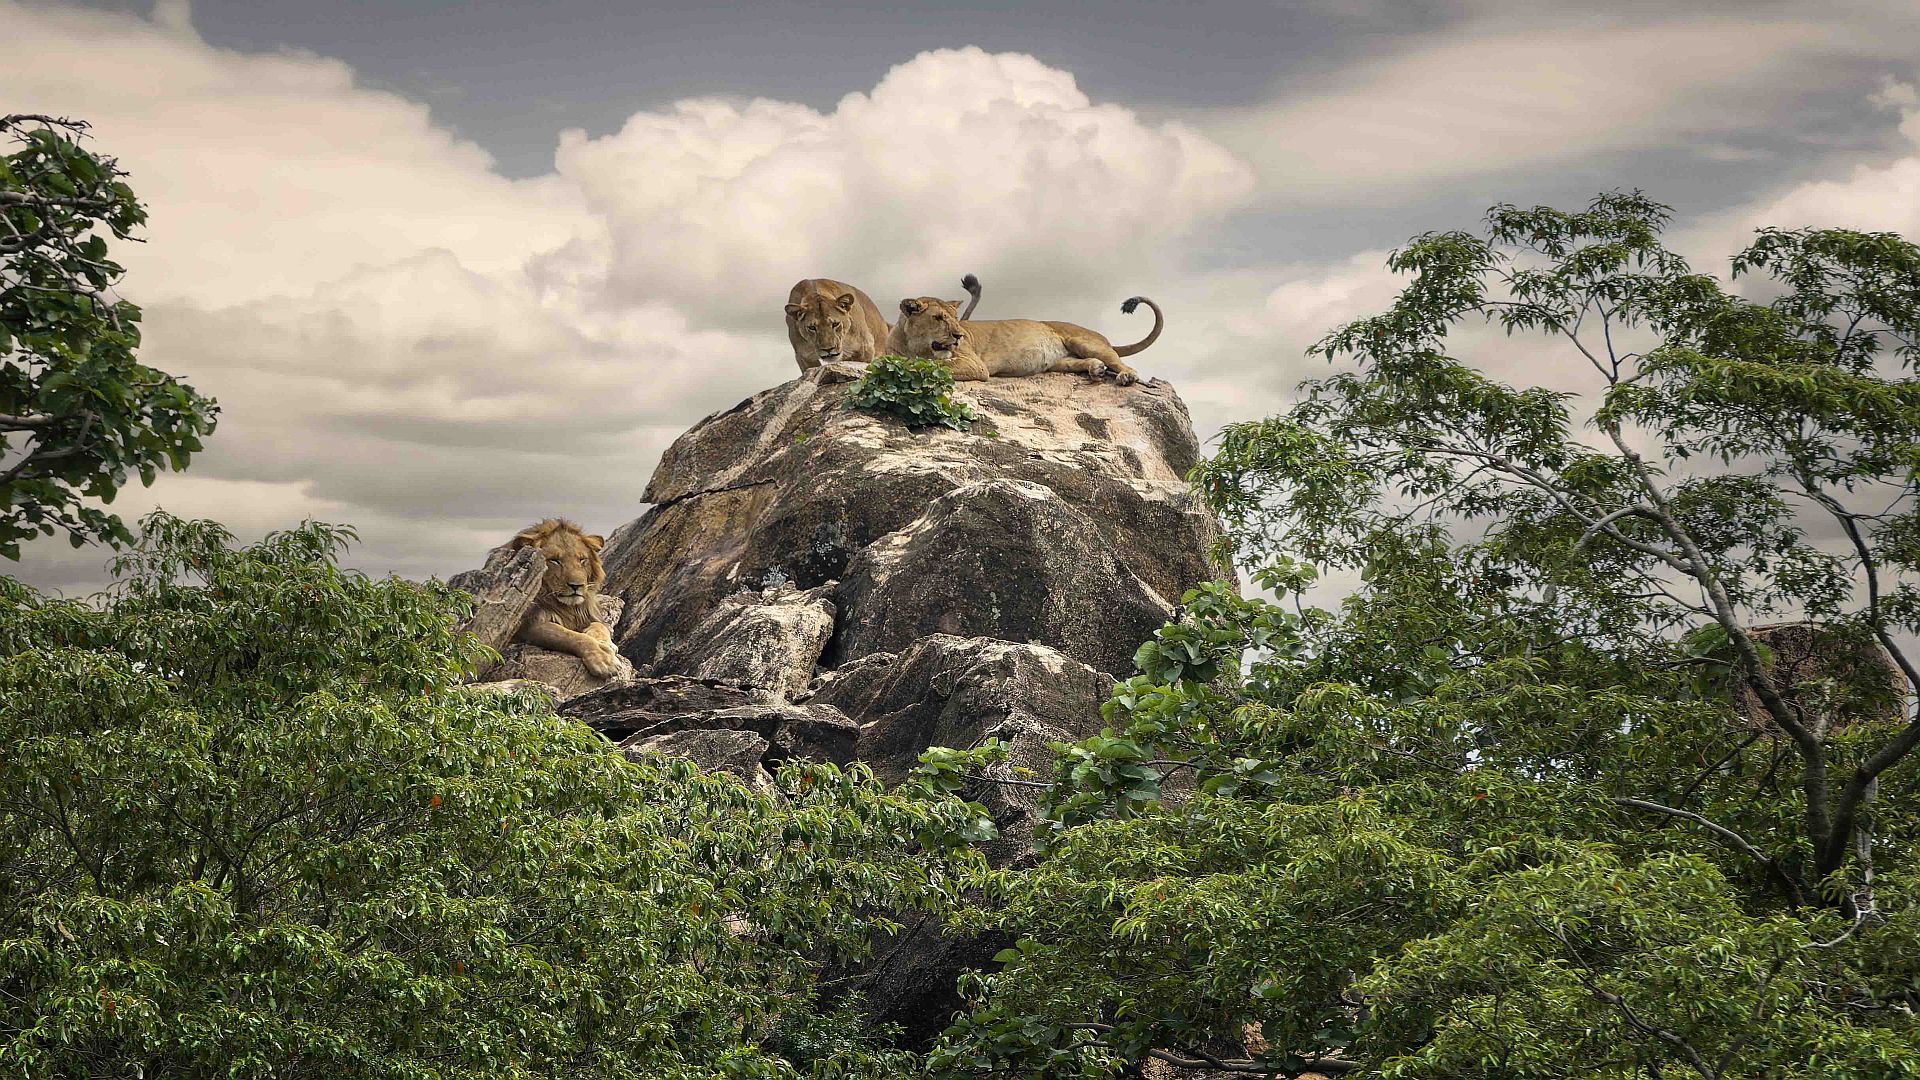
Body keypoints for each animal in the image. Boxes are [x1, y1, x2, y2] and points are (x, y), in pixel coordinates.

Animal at [879, 288, 1152, 384]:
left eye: (956, 319)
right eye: (938, 318)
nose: (958, 335)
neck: (915, 345)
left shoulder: (974, 364)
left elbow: (930, 366)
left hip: (1083, 341)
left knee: (1117, 360)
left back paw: (1126, 376)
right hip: (1060, 362)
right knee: (1082, 362)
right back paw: (1096, 369)